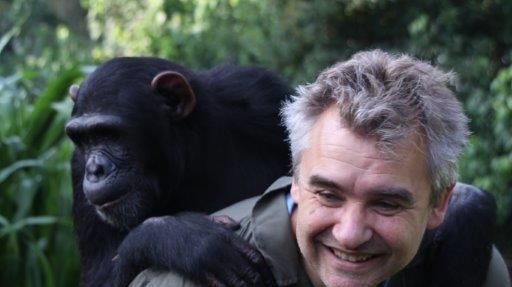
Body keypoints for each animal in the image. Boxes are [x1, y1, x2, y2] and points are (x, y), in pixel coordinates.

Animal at [65, 57, 292, 286]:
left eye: (110, 134)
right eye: (83, 139)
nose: (94, 170)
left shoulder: (263, 94)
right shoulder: (77, 167)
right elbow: (100, 277)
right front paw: (187, 237)